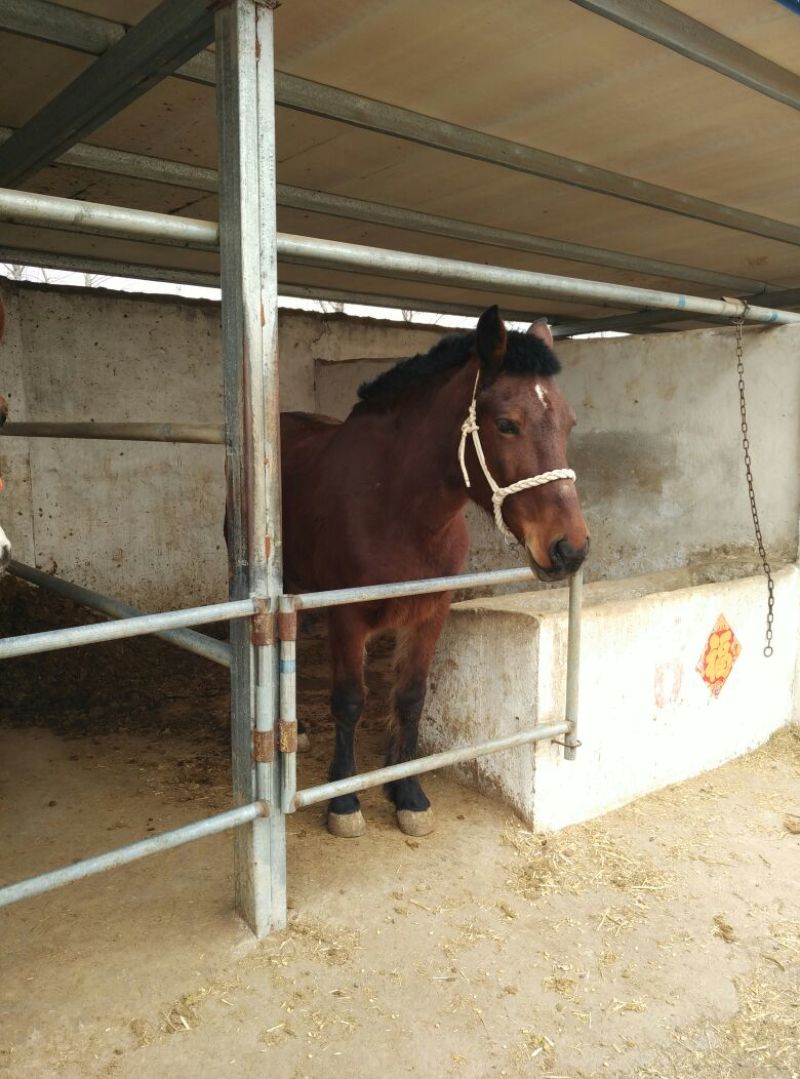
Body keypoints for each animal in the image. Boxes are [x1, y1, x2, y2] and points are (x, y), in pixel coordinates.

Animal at [280, 305, 589, 838]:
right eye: (506, 424)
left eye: (568, 423)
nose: (570, 548)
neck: (394, 509)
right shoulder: (347, 618)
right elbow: (349, 701)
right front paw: (344, 801)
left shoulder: (429, 614)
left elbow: (410, 697)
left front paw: (406, 793)